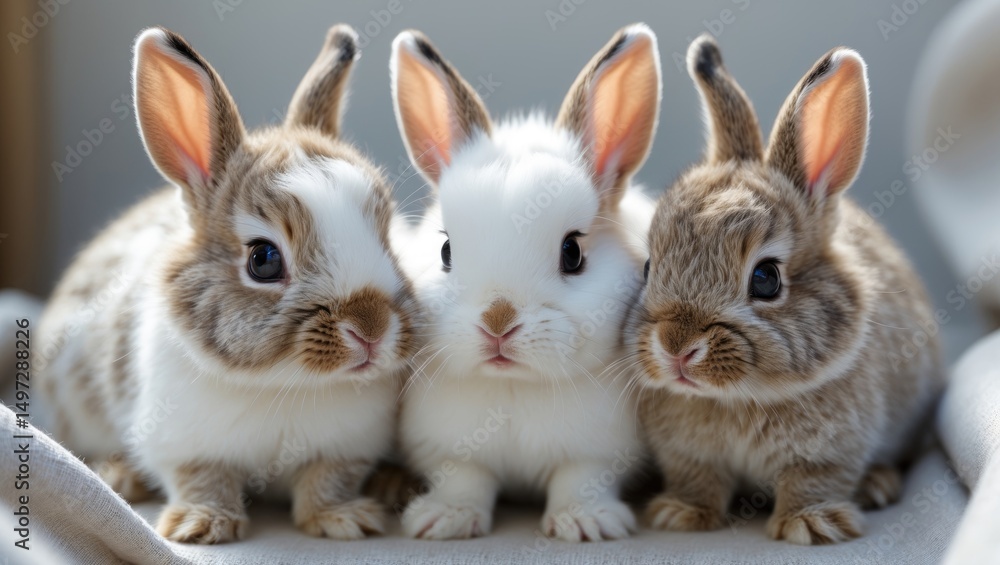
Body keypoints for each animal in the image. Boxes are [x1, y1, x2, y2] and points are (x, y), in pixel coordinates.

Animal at [34, 25, 418, 544]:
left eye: (388, 237)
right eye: (263, 260)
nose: (372, 328)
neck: (283, 383)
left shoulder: (347, 448)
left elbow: (327, 481)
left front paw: (343, 520)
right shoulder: (183, 445)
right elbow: (203, 480)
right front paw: (201, 526)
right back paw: (119, 475)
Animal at [389, 24, 661, 541]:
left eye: (572, 253)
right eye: (445, 251)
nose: (498, 322)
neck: (513, 386)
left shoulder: (598, 454)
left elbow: (581, 479)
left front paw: (584, 522)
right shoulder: (450, 452)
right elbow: (464, 478)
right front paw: (445, 518)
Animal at [629, 34, 944, 545]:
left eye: (766, 279)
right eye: (648, 266)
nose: (676, 347)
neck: (737, 397)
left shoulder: (828, 454)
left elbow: (811, 482)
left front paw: (811, 526)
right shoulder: (688, 456)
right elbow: (698, 479)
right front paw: (680, 515)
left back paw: (876, 486)